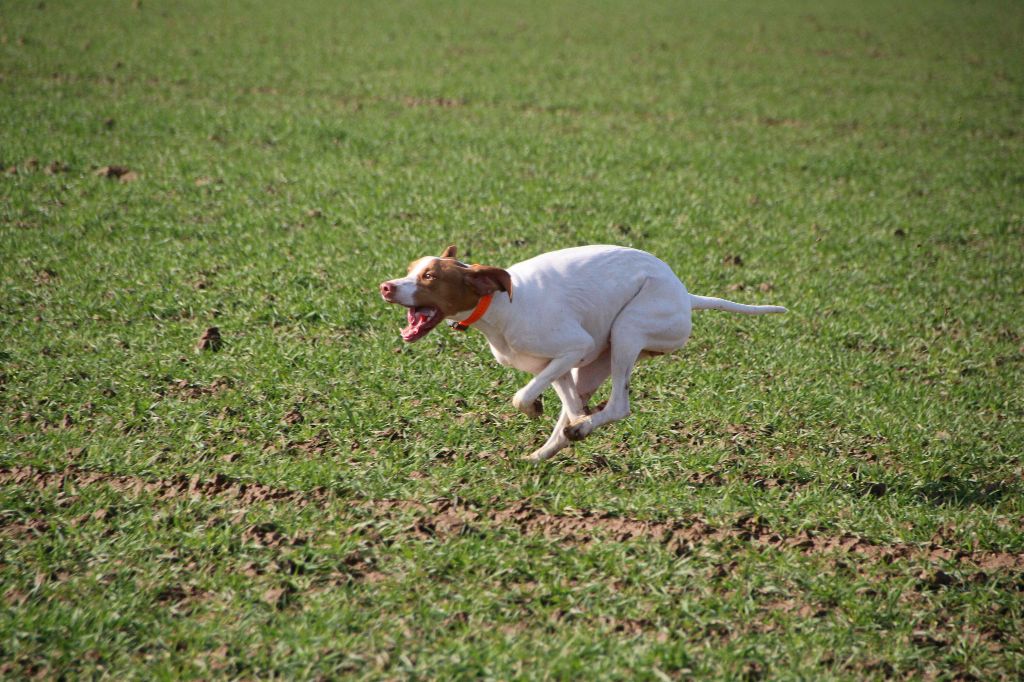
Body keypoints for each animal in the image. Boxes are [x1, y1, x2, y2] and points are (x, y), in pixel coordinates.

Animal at [380, 244, 786, 462]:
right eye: (411, 270)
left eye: (430, 277)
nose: (386, 286)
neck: (500, 304)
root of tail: (686, 296)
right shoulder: (560, 363)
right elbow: (566, 405)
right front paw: (570, 420)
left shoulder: (575, 346)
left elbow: (521, 396)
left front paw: (537, 408)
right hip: (595, 363)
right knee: (576, 414)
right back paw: (544, 452)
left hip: (628, 330)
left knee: (619, 405)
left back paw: (580, 428)